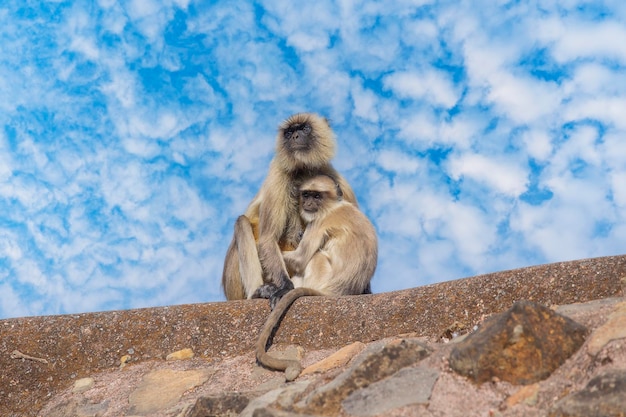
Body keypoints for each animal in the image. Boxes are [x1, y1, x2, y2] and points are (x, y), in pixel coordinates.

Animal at [221, 112, 358, 304]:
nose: (295, 136)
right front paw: (286, 287)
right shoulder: (278, 173)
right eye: (289, 132)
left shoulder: (332, 175)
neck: (303, 171)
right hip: (233, 286)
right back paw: (257, 292)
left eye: (303, 128)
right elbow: (268, 238)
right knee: (242, 222)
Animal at [256, 175, 378, 380]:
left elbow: (300, 259)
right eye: (306, 194)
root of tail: (335, 292)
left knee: (316, 256)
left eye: (317, 196)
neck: (334, 206)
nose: (308, 203)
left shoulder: (319, 222)